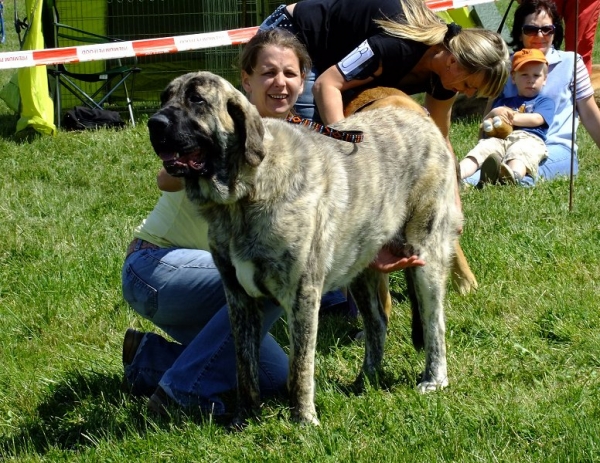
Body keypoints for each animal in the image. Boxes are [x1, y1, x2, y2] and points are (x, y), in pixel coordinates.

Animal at [148, 72, 462, 428]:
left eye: (197, 100)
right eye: (164, 98)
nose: (154, 123)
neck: (243, 197)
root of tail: (424, 120)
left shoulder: (302, 294)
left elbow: (300, 366)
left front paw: (303, 421)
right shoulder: (239, 297)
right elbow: (244, 364)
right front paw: (244, 418)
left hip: (427, 257)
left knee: (434, 323)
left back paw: (434, 379)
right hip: (360, 265)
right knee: (377, 324)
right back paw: (365, 380)